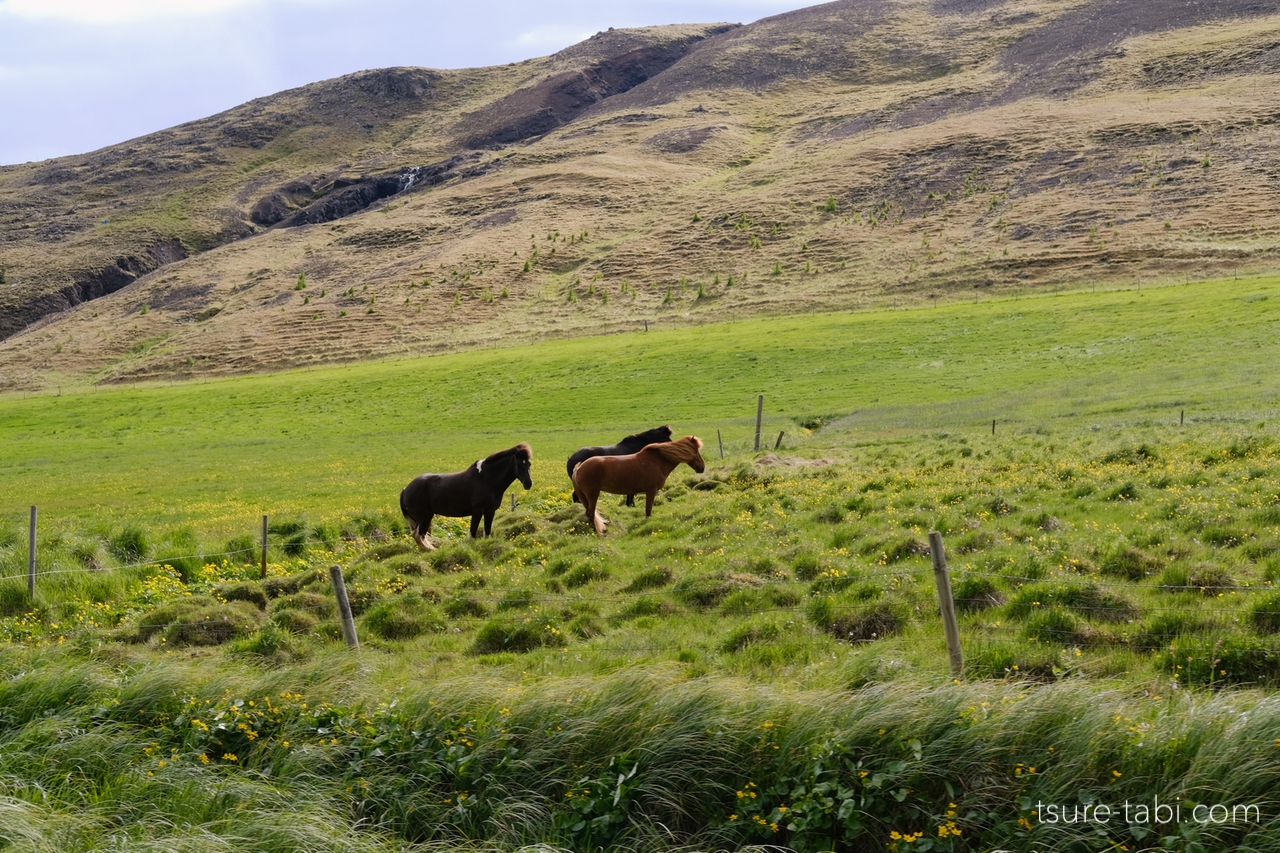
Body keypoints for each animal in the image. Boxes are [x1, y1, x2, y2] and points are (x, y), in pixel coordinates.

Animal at [399, 440, 529, 548]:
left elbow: (487, 533)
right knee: (418, 535)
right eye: (518, 464)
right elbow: (472, 534)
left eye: (529, 464)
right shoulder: (477, 511)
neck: (487, 479)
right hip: (425, 517)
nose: (528, 483)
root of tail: (405, 490)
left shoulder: (490, 511)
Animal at [573, 435, 706, 535]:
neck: (658, 461)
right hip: (593, 495)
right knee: (590, 514)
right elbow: (648, 510)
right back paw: (598, 534)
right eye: (696, 451)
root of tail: (579, 468)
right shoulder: (651, 491)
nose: (702, 468)